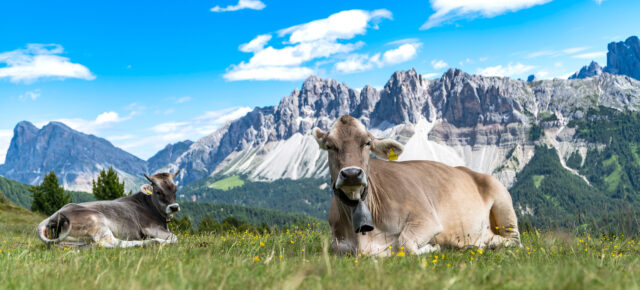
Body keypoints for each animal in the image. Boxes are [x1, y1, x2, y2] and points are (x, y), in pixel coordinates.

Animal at [37, 171, 181, 248]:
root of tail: (53, 216)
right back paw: (153, 242)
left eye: (175, 190)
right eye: (158, 191)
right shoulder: (150, 227)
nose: (174, 207)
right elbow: (175, 237)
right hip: (97, 221)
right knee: (112, 243)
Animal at [314, 115, 520, 256]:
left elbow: (405, 244)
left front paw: (434, 247)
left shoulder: (427, 218)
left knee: (515, 240)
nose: (351, 174)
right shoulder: (337, 243)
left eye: (367, 143)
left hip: (503, 200)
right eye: (330, 146)